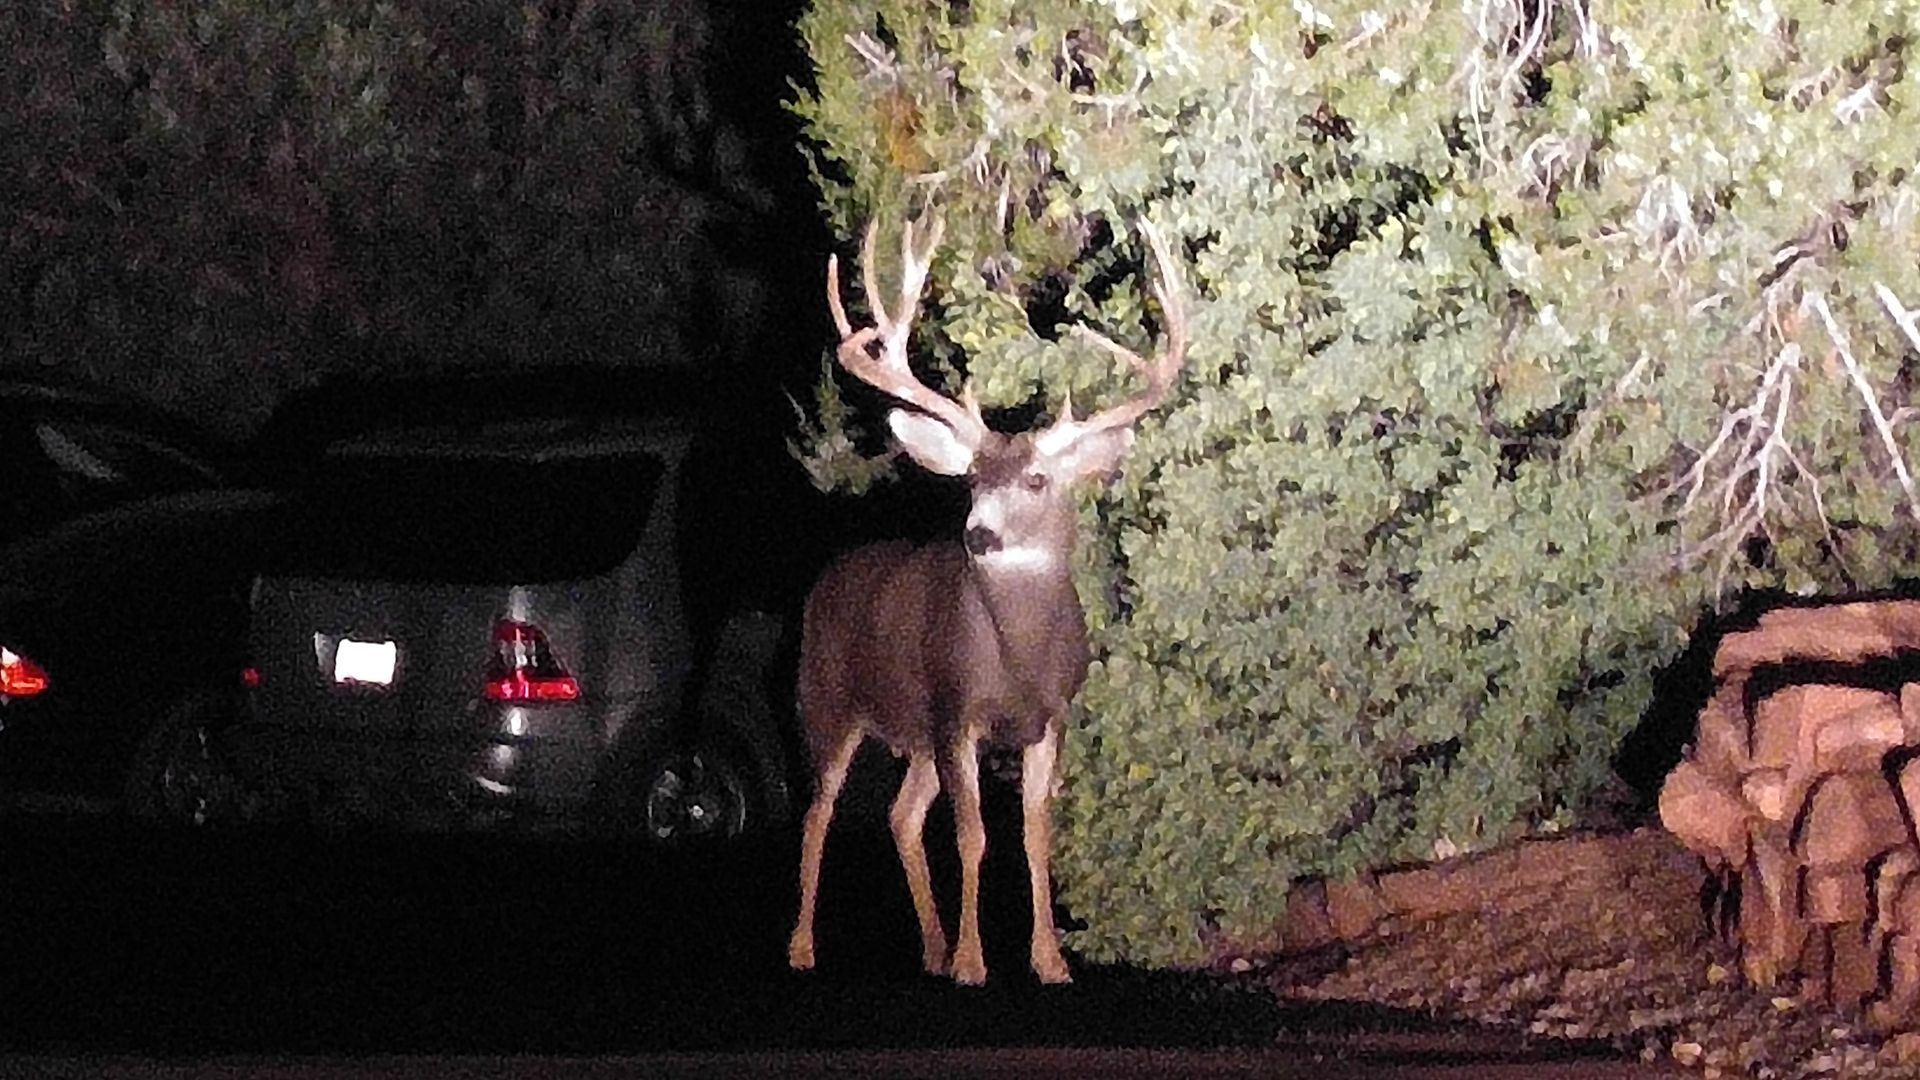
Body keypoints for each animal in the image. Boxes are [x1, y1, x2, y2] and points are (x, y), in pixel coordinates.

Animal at [786, 212, 1187, 986]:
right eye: (971, 479)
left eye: (1036, 480)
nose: (978, 534)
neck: (1018, 661)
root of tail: (828, 577)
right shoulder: (956, 708)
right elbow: (973, 834)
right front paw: (975, 962)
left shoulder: (1050, 718)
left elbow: (1034, 834)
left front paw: (1049, 960)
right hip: (826, 701)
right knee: (819, 812)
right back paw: (803, 947)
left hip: (911, 732)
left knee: (901, 814)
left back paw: (931, 949)